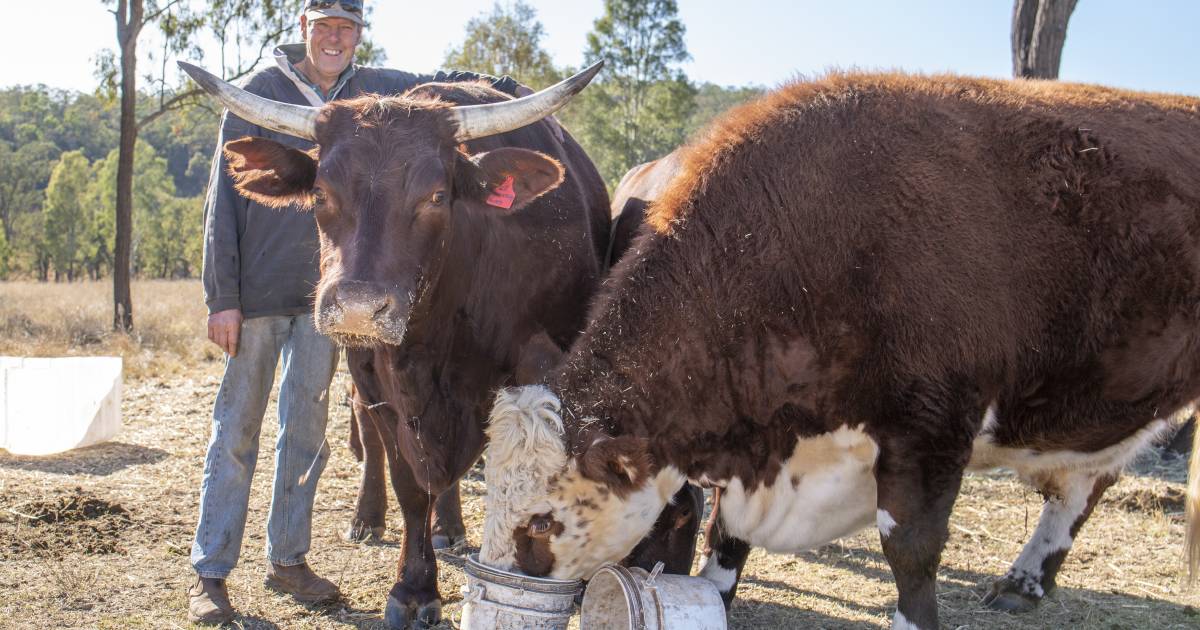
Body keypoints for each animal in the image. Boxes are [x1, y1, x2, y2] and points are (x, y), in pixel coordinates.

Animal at [477, 71, 1200, 624]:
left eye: (539, 523)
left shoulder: (931, 426)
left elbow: (911, 549)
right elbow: (725, 537)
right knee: (1087, 482)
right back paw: (1027, 580)